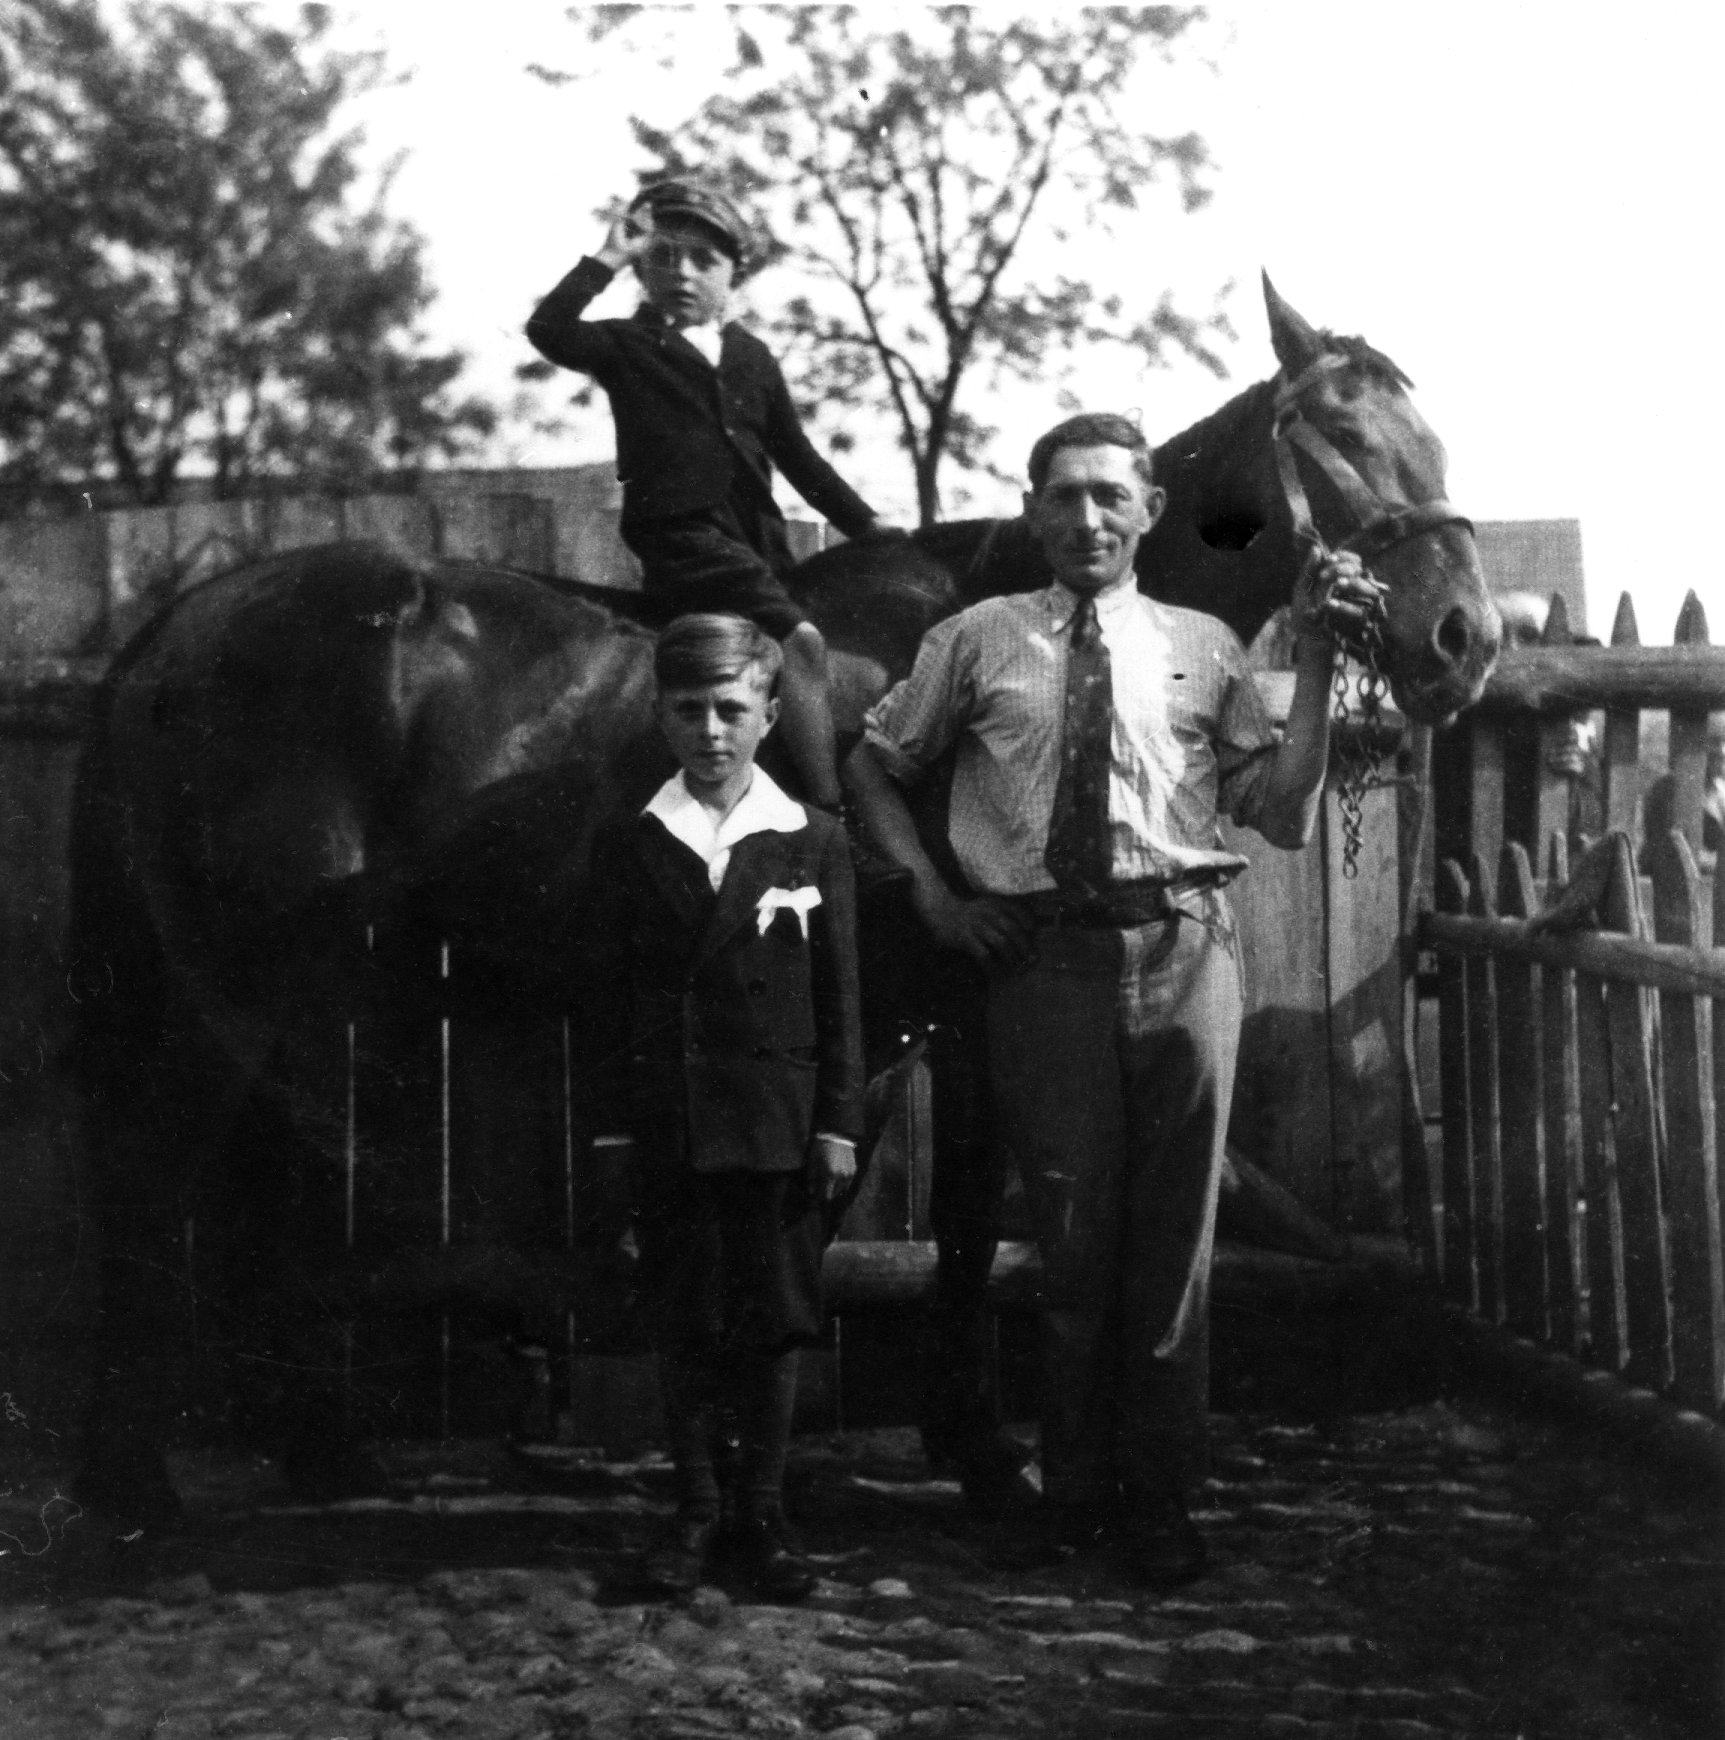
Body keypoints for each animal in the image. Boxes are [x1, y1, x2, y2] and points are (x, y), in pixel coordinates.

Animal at [67, 274, 1496, 1524]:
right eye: (1338, 436)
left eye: (1432, 438)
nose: (1465, 639)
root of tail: (169, 637)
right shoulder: (967, 1009)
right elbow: (961, 1221)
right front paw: (979, 1452)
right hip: (242, 1003)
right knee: (154, 1191)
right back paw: (137, 1485)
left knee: (250, 1204)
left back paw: (309, 1453)